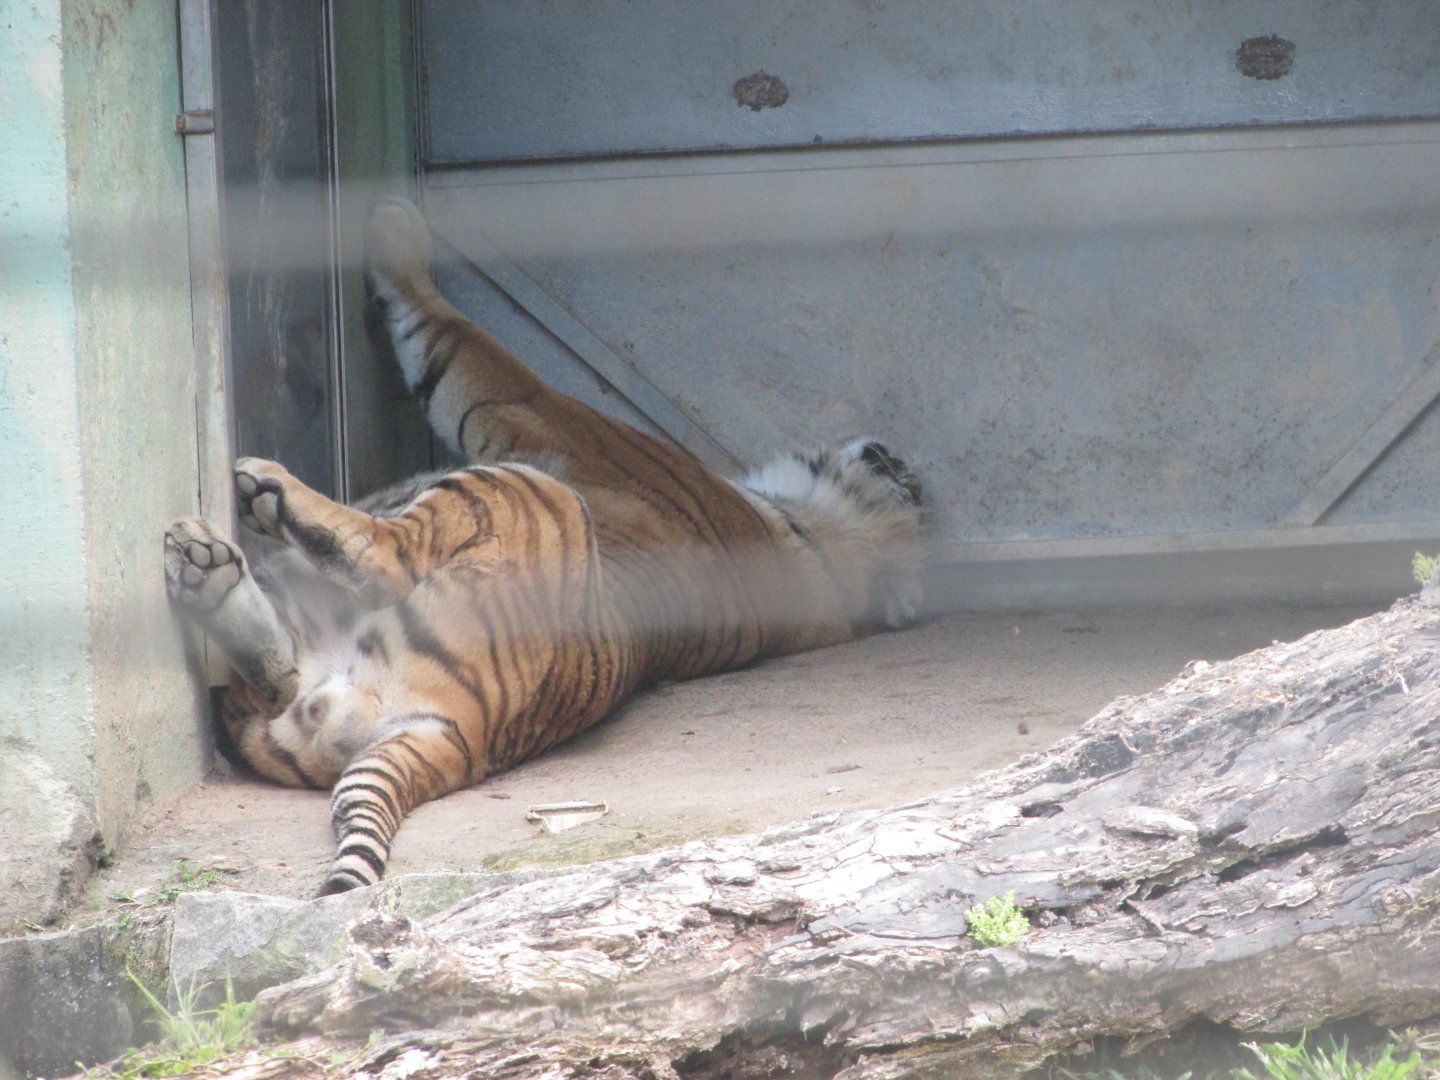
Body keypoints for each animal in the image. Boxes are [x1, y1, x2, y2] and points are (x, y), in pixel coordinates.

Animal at [164, 197, 924, 896]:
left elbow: (457, 342)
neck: (808, 544)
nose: (906, 461)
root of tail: (464, 732)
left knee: (382, 554)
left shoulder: (538, 417)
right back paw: (207, 570)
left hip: (521, 487)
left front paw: (393, 225)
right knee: (272, 677)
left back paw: (259, 494)